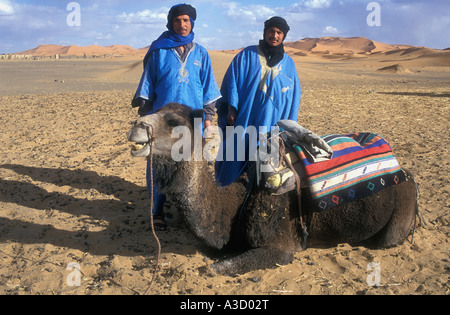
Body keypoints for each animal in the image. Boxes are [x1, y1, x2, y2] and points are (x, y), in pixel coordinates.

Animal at [126, 103, 418, 276]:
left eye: (174, 122)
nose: (137, 126)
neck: (234, 204)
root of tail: (407, 172)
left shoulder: (281, 246)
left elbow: (216, 268)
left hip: (399, 216)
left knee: (389, 239)